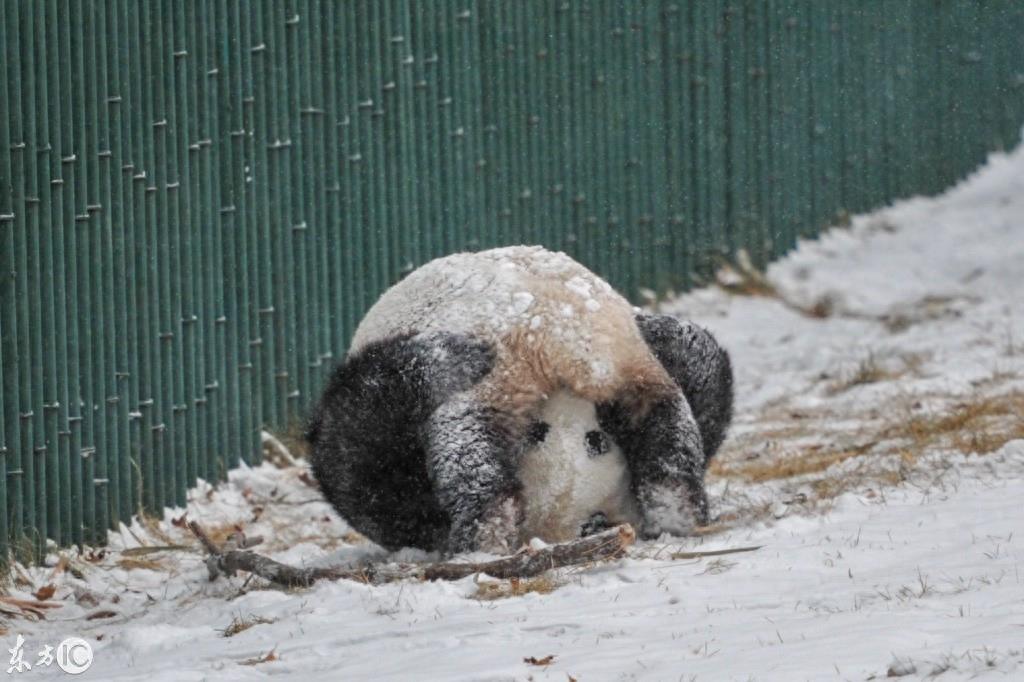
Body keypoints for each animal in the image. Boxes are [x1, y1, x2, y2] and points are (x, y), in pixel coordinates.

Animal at [305, 246, 737, 557]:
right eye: (539, 433)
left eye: (594, 441)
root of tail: (552, 338)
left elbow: (362, 474)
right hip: (622, 364)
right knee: (665, 423)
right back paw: (675, 504)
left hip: (492, 387)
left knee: (462, 447)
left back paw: (483, 527)